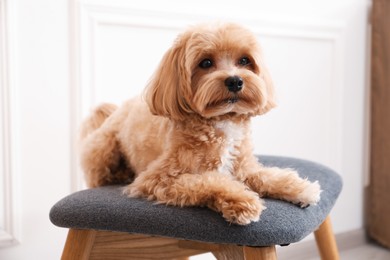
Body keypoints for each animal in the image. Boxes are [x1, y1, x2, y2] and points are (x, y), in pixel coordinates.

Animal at [79, 22, 320, 225]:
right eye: (206, 63)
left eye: (244, 60)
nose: (235, 80)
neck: (221, 121)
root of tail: (117, 109)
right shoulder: (158, 179)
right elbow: (209, 181)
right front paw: (241, 201)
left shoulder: (243, 167)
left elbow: (267, 175)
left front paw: (300, 188)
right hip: (103, 148)